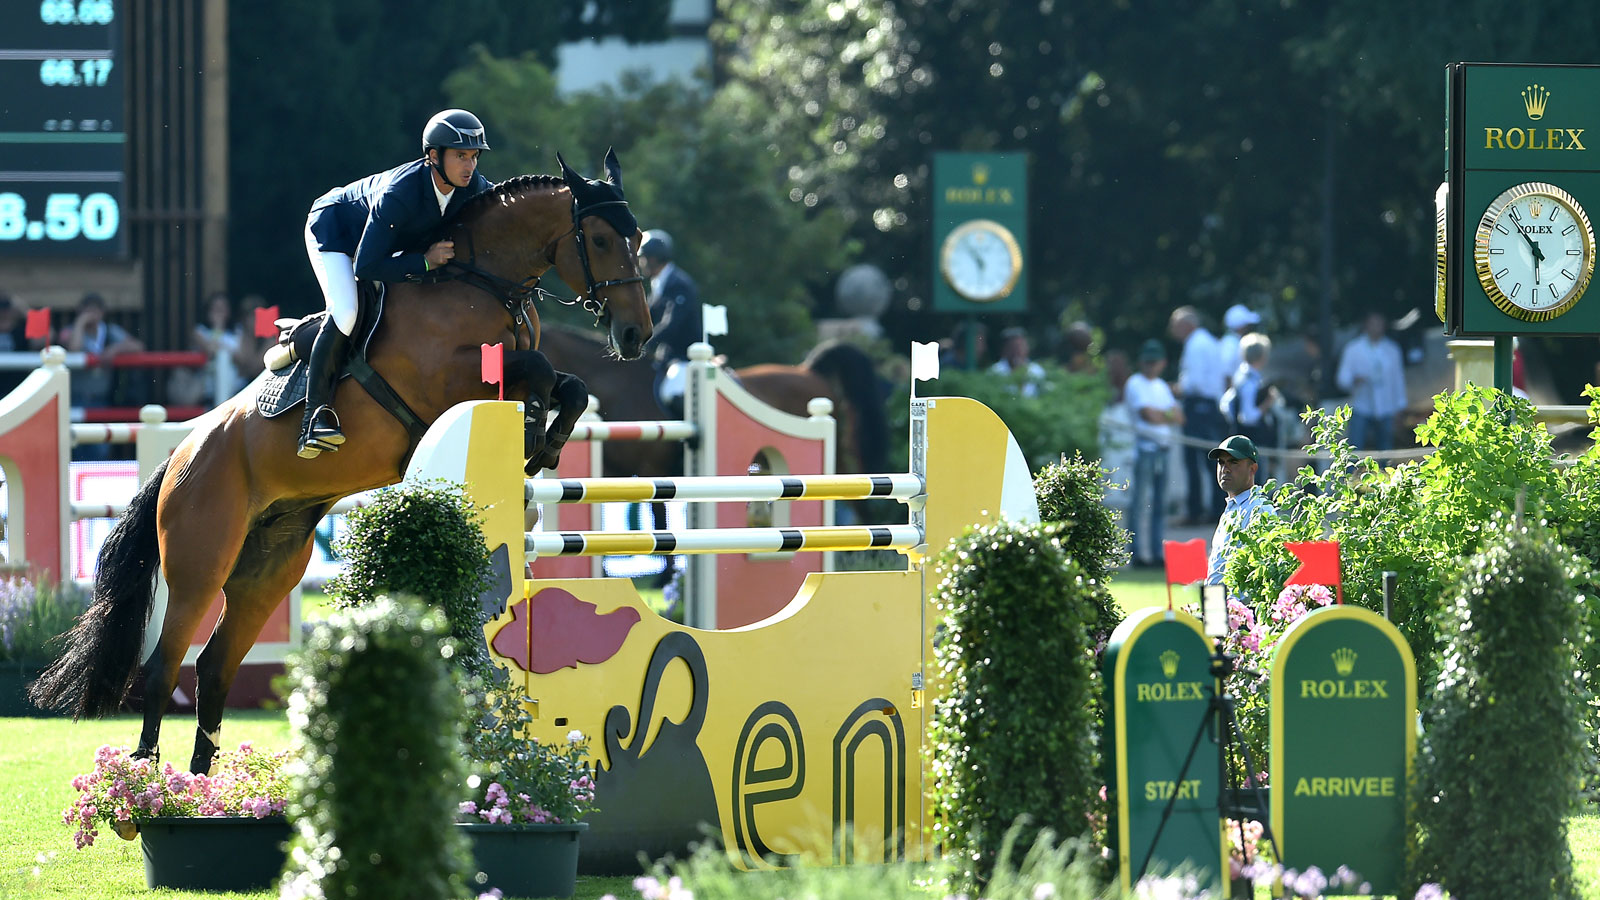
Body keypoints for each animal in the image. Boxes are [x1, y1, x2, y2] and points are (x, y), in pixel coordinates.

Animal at [26, 150, 649, 768]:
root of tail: (180, 457)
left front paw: (546, 441)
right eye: (598, 238)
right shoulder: (445, 383)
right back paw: (147, 781)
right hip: (200, 564)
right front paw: (534, 432)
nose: (636, 335)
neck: (481, 282)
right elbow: (539, 370)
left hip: (269, 571)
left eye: (637, 237)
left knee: (215, 666)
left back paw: (206, 783)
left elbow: (569, 385)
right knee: (162, 668)